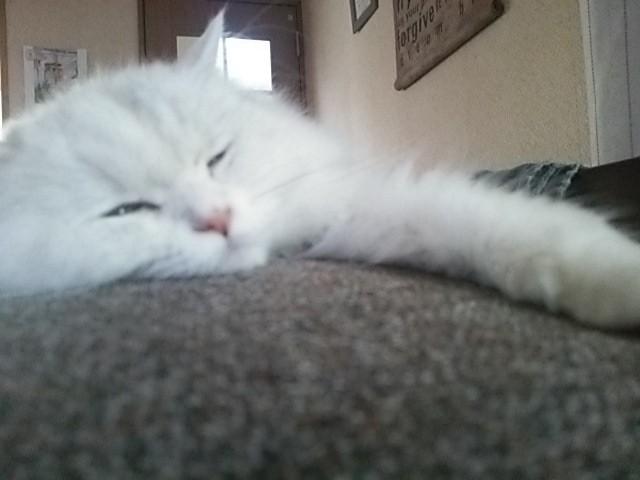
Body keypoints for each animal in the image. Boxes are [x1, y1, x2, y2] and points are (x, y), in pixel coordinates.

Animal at [0, 14, 639, 329]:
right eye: (127, 211)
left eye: (218, 157)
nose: (219, 220)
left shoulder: (359, 205)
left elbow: (518, 230)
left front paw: (617, 283)